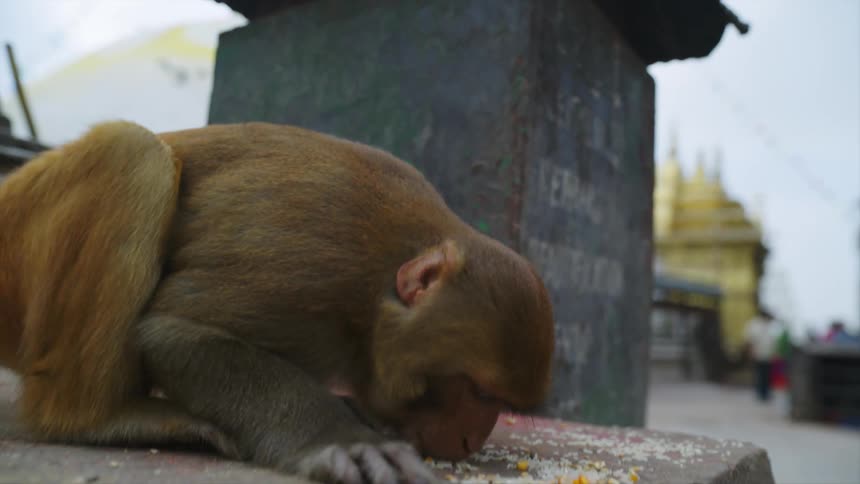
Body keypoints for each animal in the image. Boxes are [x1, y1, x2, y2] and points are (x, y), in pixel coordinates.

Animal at [0, 120, 555, 484]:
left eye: (496, 402)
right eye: (480, 392)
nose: (470, 441)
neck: (371, 296)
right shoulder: (312, 269)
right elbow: (174, 331)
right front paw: (341, 439)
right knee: (132, 150)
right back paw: (98, 418)